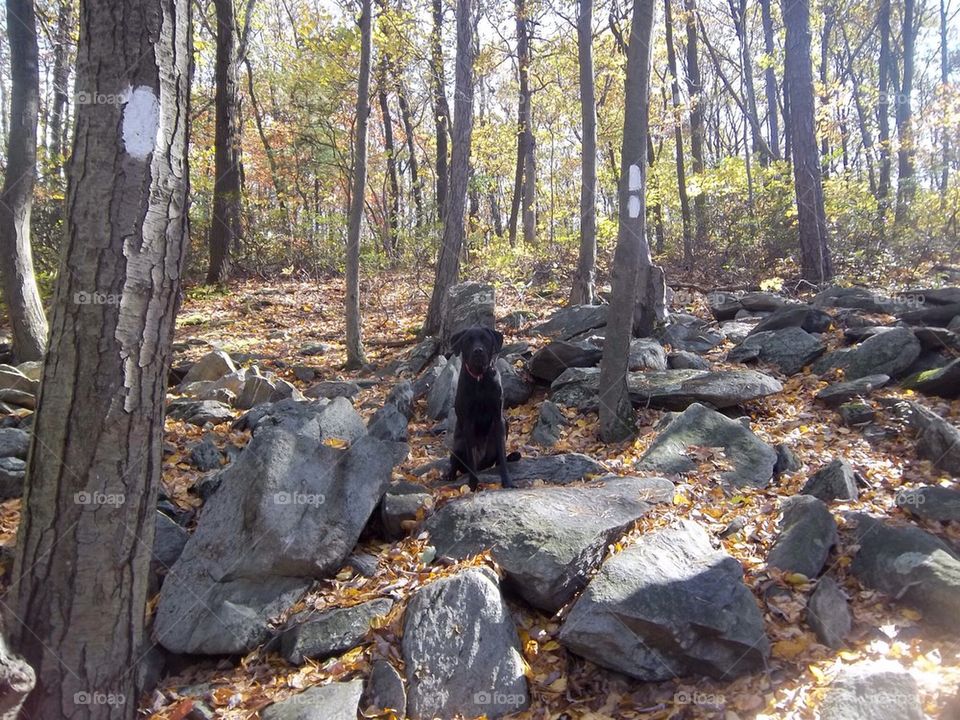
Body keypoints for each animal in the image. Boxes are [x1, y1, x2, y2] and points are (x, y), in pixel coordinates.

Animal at [444, 324, 516, 490]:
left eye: (485, 339)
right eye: (468, 341)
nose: (478, 351)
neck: (479, 379)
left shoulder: (498, 418)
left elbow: (502, 456)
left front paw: (507, 481)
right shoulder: (468, 422)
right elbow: (471, 460)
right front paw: (472, 485)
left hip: (505, 423)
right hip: (458, 444)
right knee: (456, 462)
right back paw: (450, 474)